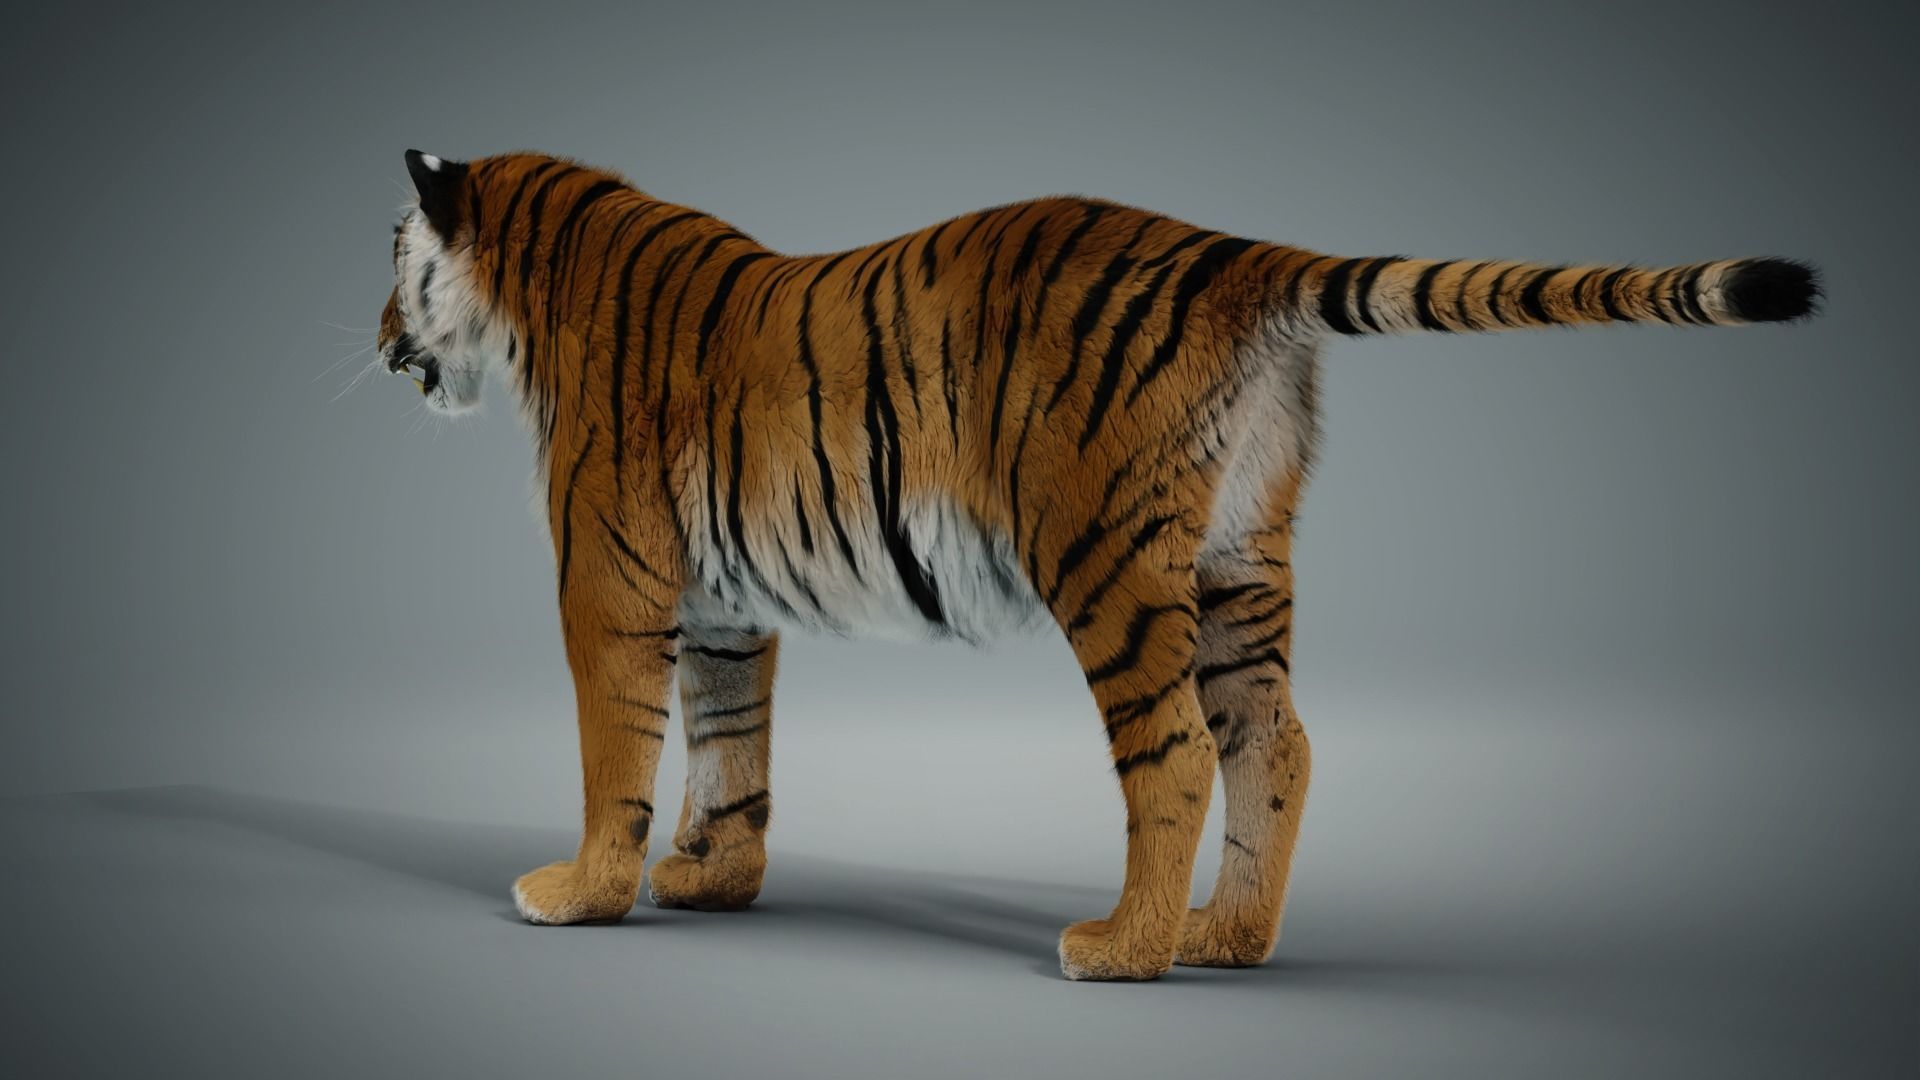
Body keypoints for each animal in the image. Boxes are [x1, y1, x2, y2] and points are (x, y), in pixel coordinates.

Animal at [373, 149, 1819, 981]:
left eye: (394, 257)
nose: (380, 335)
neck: (536, 294)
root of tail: (1240, 254)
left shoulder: (611, 582)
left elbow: (614, 744)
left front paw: (580, 895)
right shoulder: (726, 602)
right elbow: (731, 748)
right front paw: (710, 883)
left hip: (1106, 560)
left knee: (1173, 749)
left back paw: (1126, 949)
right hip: (1242, 561)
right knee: (1275, 739)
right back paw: (1225, 940)